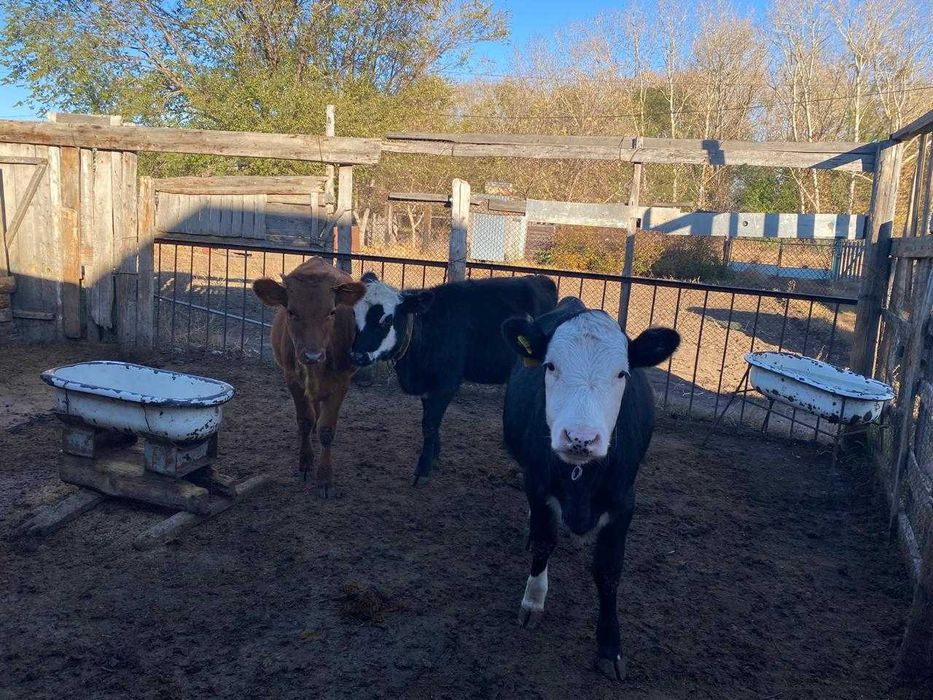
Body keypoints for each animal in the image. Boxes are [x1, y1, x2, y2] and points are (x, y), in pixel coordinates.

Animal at [253, 257, 366, 497]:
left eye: (332, 312)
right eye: (291, 311)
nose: (312, 355)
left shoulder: (342, 382)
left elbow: (327, 429)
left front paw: (325, 477)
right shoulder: (292, 379)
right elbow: (305, 420)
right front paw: (305, 462)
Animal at [348, 272, 557, 485]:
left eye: (387, 319)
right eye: (355, 315)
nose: (358, 356)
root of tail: (540, 278)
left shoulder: (447, 381)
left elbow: (430, 423)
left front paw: (423, 469)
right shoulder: (428, 385)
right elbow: (430, 420)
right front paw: (434, 455)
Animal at [501, 297, 680, 681]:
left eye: (622, 373)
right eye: (550, 366)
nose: (580, 438)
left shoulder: (625, 503)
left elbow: (608, 571)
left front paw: (610, 645)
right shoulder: (537, 485)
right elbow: (545, 542)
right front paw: (533, 601)